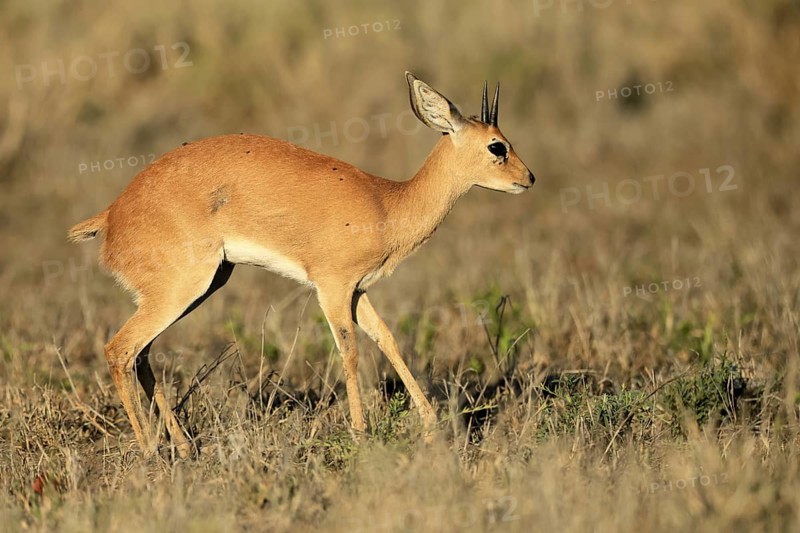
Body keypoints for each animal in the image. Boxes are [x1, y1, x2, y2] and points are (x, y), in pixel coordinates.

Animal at [68, 72, 535, 458]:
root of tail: (112, 214)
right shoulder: (332, 288)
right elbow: (350, 351)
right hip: (183, 289)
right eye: (497, 146)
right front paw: (361, 434)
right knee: (119, 349)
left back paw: (182, 447)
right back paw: (150, 450)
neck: (387, 203)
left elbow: (388, 340)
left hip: (201, 287)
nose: (529, 178)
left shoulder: (357, 291)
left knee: (141, 354)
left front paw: (431, 426)